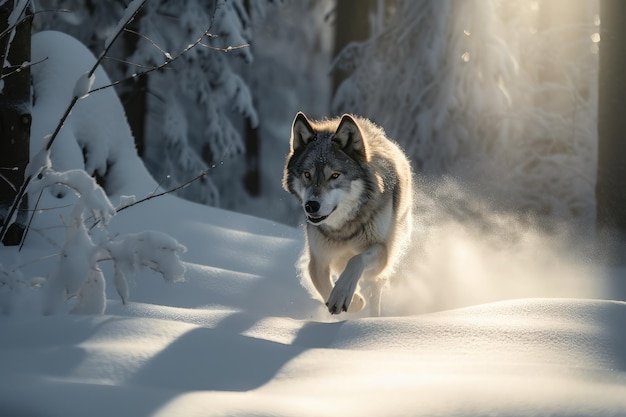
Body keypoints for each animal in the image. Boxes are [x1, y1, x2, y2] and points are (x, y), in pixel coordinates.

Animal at [282, 112, 410, 314]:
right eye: (307, 174)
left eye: (335, 175)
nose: (311, 206)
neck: (343, 229)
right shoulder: (318, 260)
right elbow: (323, 287)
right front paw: (354, 300)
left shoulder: (382, 253)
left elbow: (357, 260)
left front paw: (343, 294)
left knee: (375, 286)